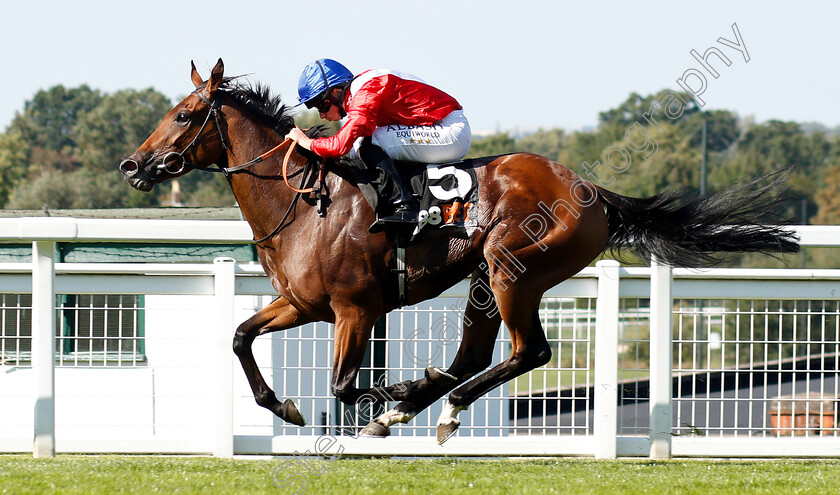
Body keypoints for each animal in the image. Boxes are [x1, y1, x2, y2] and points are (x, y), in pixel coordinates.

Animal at [120, 59, 800, 446]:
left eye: (184, 115)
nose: (134, 164)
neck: (304, 200)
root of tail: (591, 190)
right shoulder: (302, 304)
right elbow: (240, 337)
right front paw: (283, 407)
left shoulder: (355, 309)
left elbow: (343, 385)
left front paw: (381, 393)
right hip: (483, 279)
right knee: (476, 353)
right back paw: (421, 404)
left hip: (511, 269)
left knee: (530, 352)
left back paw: (428, 405)